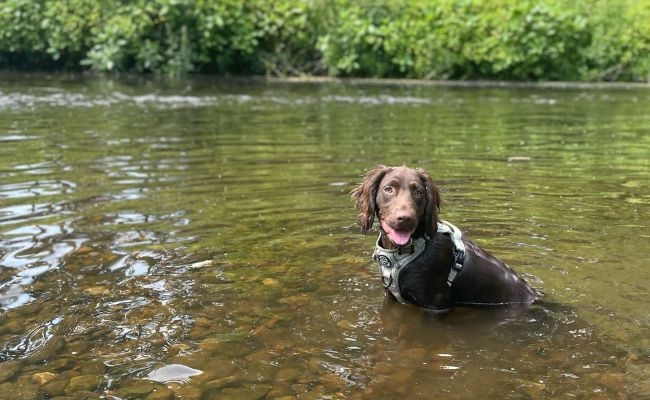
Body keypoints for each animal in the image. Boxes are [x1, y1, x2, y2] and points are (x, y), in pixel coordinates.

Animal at [352, 166, 540, 312]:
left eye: (418, 192)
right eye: (388, 189)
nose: (405, 218)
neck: (404, 251)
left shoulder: (436, 302)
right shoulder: (391, 296)